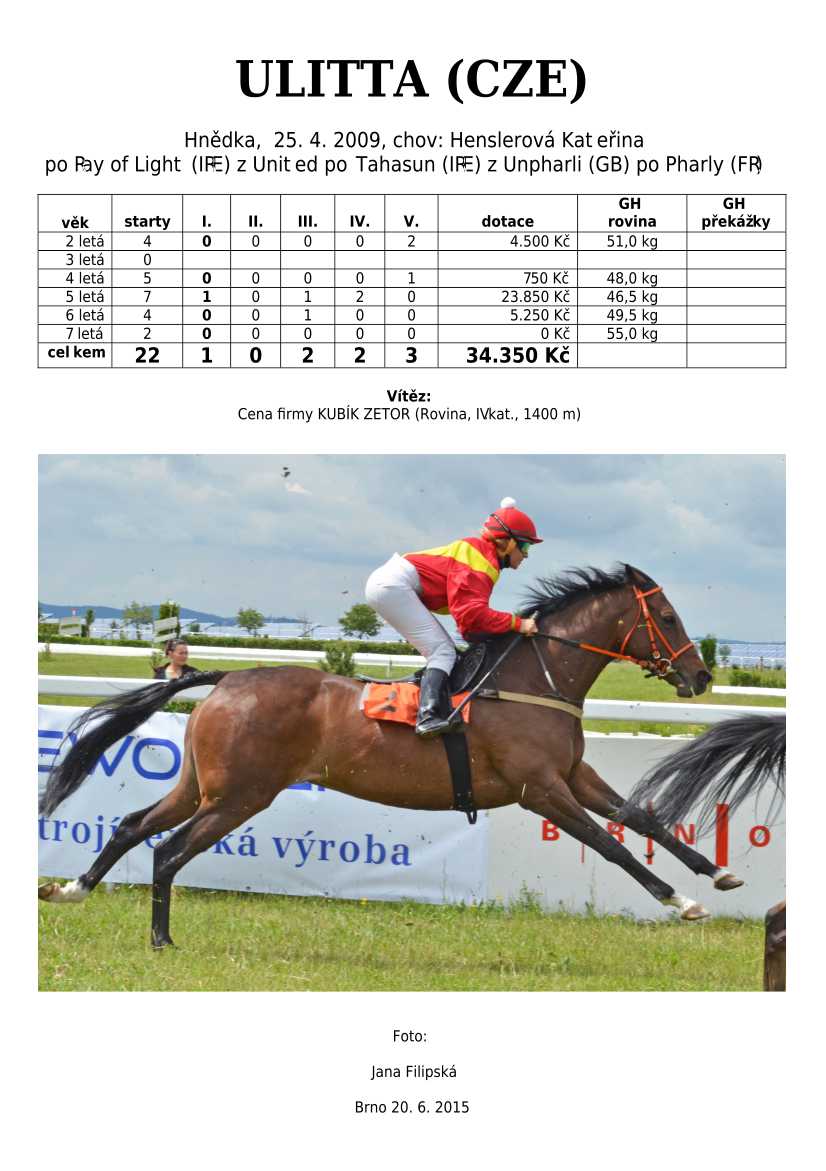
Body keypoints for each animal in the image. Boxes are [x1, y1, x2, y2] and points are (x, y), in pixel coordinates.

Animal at [39, 564, 744, 949]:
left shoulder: (574, 773)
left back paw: (74, 890)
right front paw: (680, 902)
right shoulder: (539, 789)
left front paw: (717, 875)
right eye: (670, 619)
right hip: (240, 794)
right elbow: (609, 844)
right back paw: (161, 937)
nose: (701, 676)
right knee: (168, 850)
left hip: (202, 785)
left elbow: (642, 818)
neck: (536, 678)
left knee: (133, 826)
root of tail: (227, 678)